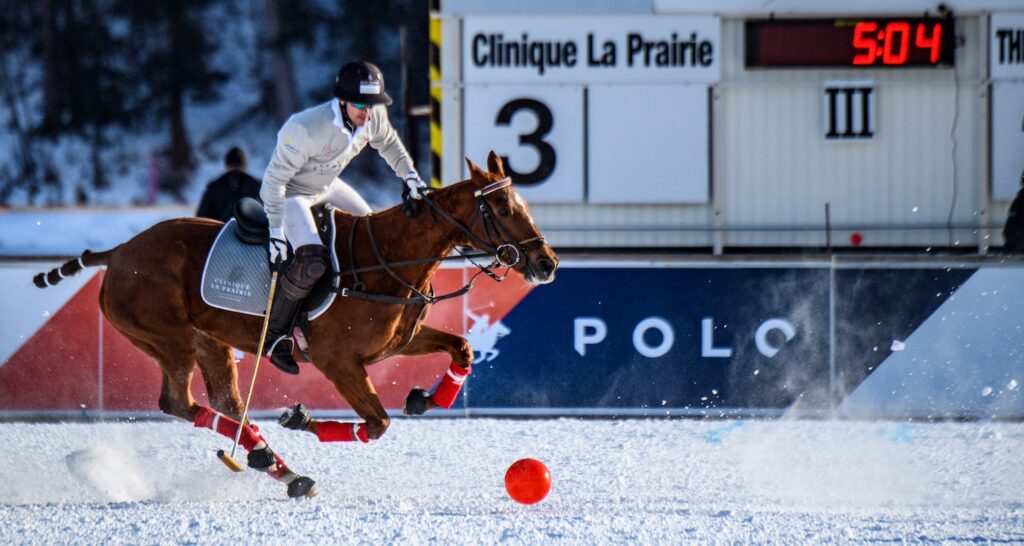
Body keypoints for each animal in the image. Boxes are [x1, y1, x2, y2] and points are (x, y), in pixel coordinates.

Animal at [34, 151, 561, 495]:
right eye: (500, 208)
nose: (547, 263)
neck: (385, 259)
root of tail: (119, 251)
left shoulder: (396, 343)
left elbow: (462, 349)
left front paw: (424, 398)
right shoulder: (337, 360)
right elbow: (377, 423)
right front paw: (300, 416)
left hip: (209, 340)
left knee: (224, 402)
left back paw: (274, 463)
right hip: (169, 337)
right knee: (177, 401)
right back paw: (269, 458)